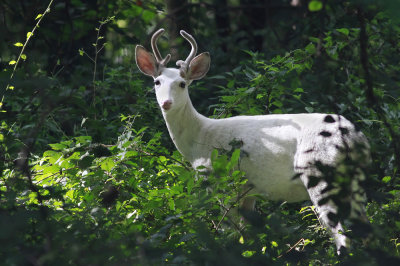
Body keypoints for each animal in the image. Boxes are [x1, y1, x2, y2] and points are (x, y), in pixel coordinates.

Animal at [135, 29, 368, 254]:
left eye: (182, 84)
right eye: (157, 82)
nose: (166, 102)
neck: (199, 140)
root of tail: (351, 136)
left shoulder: (222, 182)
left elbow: (229, 231)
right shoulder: (248, 190)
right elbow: (246, 235)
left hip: (320, 174)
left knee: (341, 234)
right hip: (355, 182)